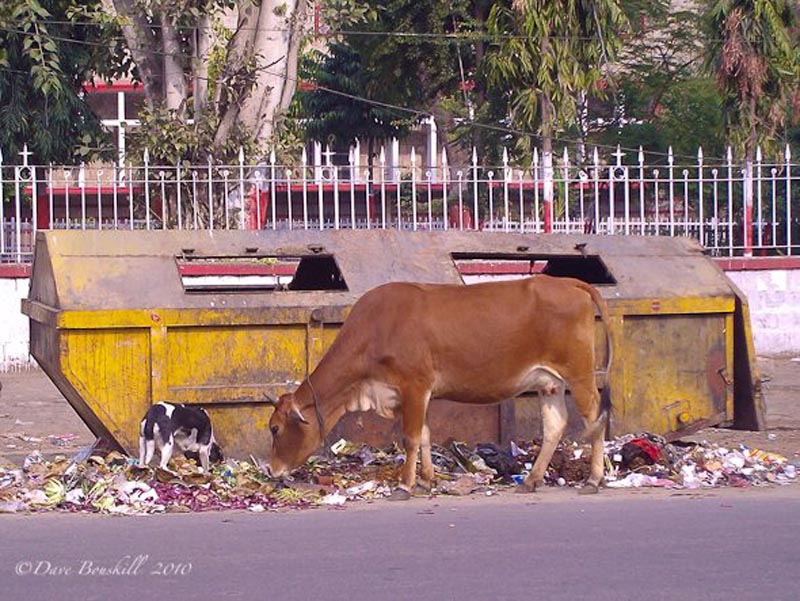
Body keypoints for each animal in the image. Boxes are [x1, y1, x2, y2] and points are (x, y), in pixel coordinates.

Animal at [268, 274, 612, 500]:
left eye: (275, 428)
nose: (272, 471)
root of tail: (568, 282)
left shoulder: (414, 385)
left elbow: (410, 438)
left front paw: (404, 486)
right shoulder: (415, 394)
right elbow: (424, 436)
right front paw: (426, 481)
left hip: (579, 373)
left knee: (595, 416)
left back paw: (594, 479)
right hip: (549, 382)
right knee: (555, 425)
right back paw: (531, 479)